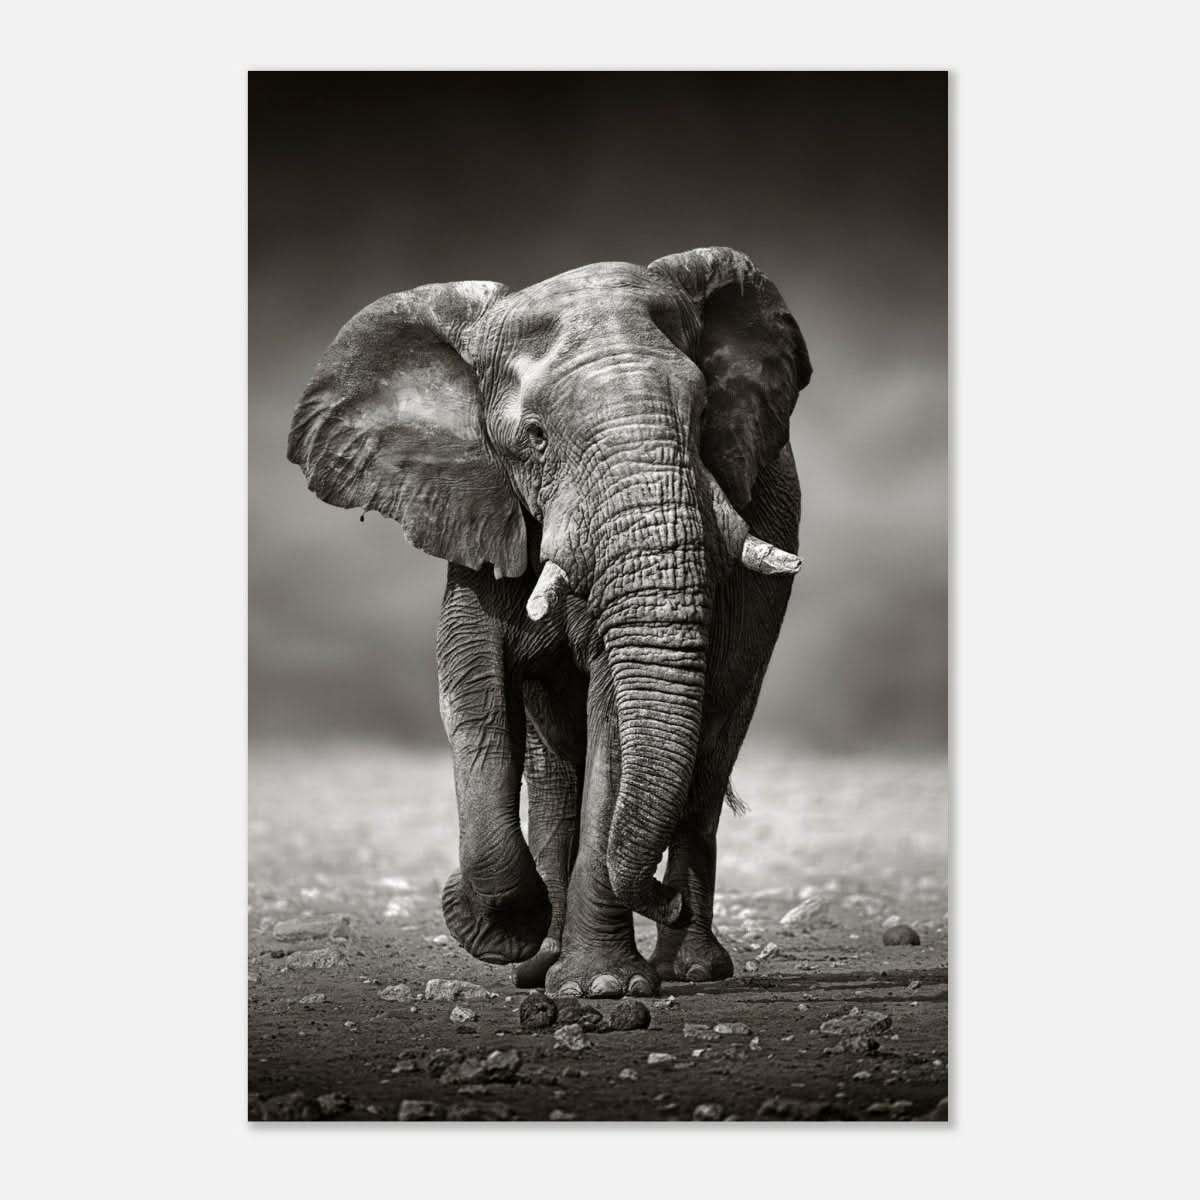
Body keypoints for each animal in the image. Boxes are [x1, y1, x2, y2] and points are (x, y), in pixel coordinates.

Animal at [287, 247, 811, 998]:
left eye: (704, 411)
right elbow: (472, 691)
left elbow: (613, 716)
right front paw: (501, 930)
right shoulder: (477, 507)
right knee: (554, 767)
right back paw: (542, 963)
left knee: (710, 749)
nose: (661, 899)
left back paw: (688, 968)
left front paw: (603, 987)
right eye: (534, 438)